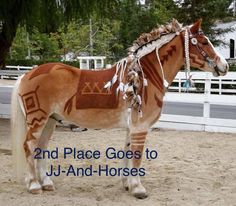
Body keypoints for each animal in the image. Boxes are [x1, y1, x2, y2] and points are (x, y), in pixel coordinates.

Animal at [11, 18, 229, 198]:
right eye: (203, 42)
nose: (225, 66)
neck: (143, 78)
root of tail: (28, 74)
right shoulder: (140, 127)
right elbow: (137, 156)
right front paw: (138, 188)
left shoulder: (132, 128)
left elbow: (127, 152)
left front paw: (127, 184)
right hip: (38, 120)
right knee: (29, 146)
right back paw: (34, 185)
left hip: (51, 120)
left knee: (41, 148)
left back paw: (46, 183)